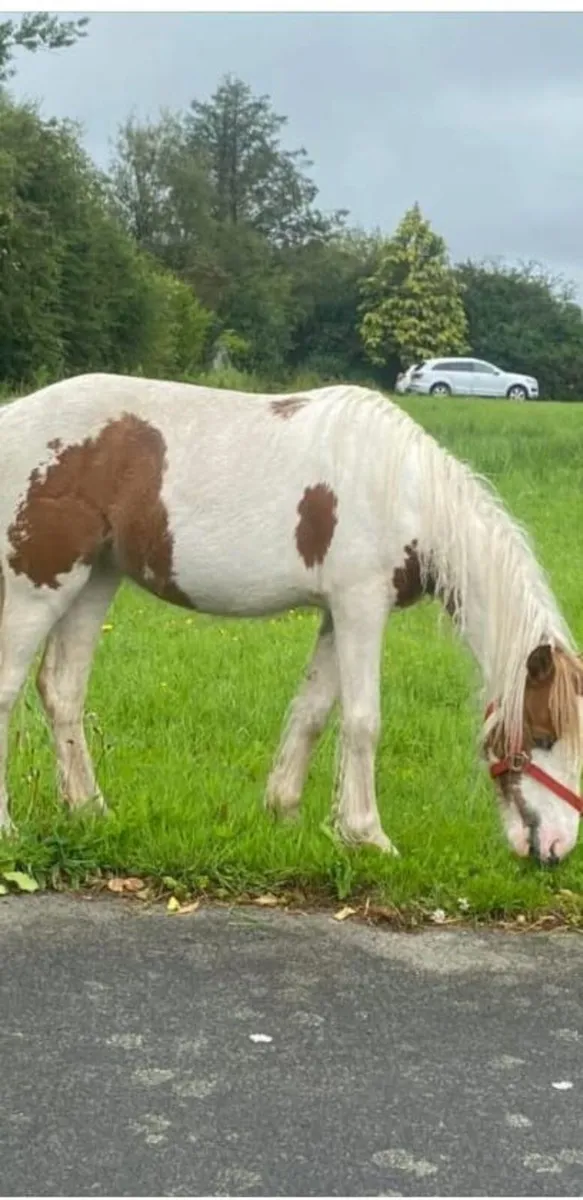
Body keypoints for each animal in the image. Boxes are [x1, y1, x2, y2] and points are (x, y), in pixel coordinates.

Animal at [0, 374, 581, 864]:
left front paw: (285, 813)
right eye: (543, 736)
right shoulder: (362, 606)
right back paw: (10, 828)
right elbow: (363, 720)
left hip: (95, 579)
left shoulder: (334, 614)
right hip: (39, 587)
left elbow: (312, 712)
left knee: (63, 691)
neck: (405, 494)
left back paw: (89, 810)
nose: (557, 849)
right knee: (10, 690)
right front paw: (368, 834)